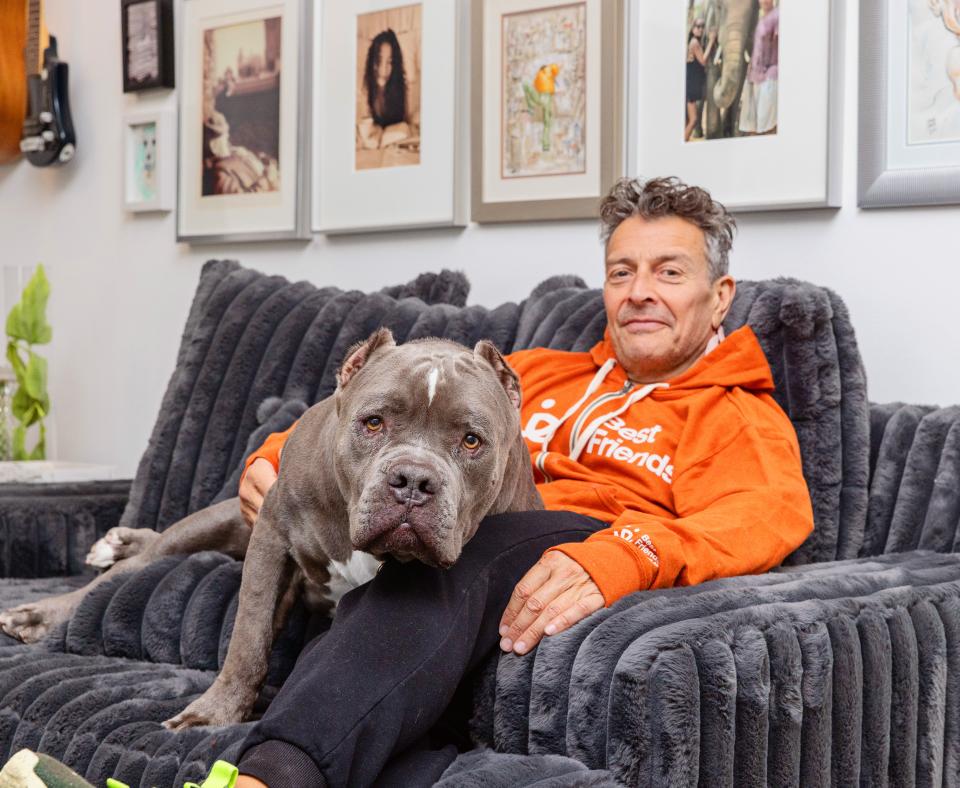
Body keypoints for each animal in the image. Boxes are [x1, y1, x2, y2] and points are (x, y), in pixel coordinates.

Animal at [0, 330, 540, 728]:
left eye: (471, 440)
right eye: (373, 422)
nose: (412, 481)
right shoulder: (271, 537)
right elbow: (249, 638)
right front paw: (213, 715)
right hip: (215, 524)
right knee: (128, 570)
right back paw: (50, 605)